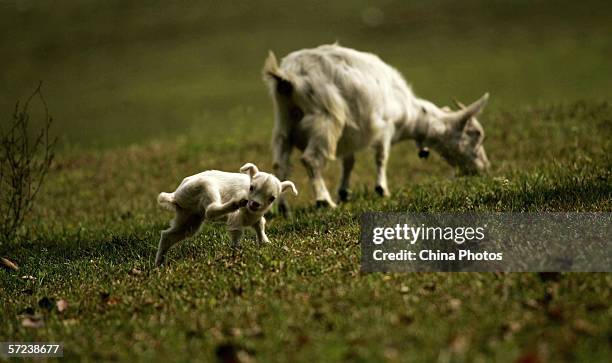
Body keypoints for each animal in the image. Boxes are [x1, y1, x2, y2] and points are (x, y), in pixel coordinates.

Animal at [153, 164, 296, 266]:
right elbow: (237, 233)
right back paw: (235, 203)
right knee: (210, 210)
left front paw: (266, 243)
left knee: (168, 235)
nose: (254, 203)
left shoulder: (257, 217)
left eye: (272, 198)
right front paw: (237, 253)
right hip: (206, 188)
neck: (250, 213)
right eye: (251, 187)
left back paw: (159, 263)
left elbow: (260, 226)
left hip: (189, 217)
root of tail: (175, 195)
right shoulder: (235, 219)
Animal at [262, 43, 492, 213]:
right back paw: (323, 200)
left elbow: (349, 162)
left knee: (280, 164)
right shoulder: (384, 127)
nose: (484, 168)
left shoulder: (351, 135)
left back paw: (283, 208)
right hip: (325, 120)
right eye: (476, 134)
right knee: (311, 159)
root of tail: (288, 77)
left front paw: (344, 192)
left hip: (284, 124)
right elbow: (382, 158)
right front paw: (382, 189)